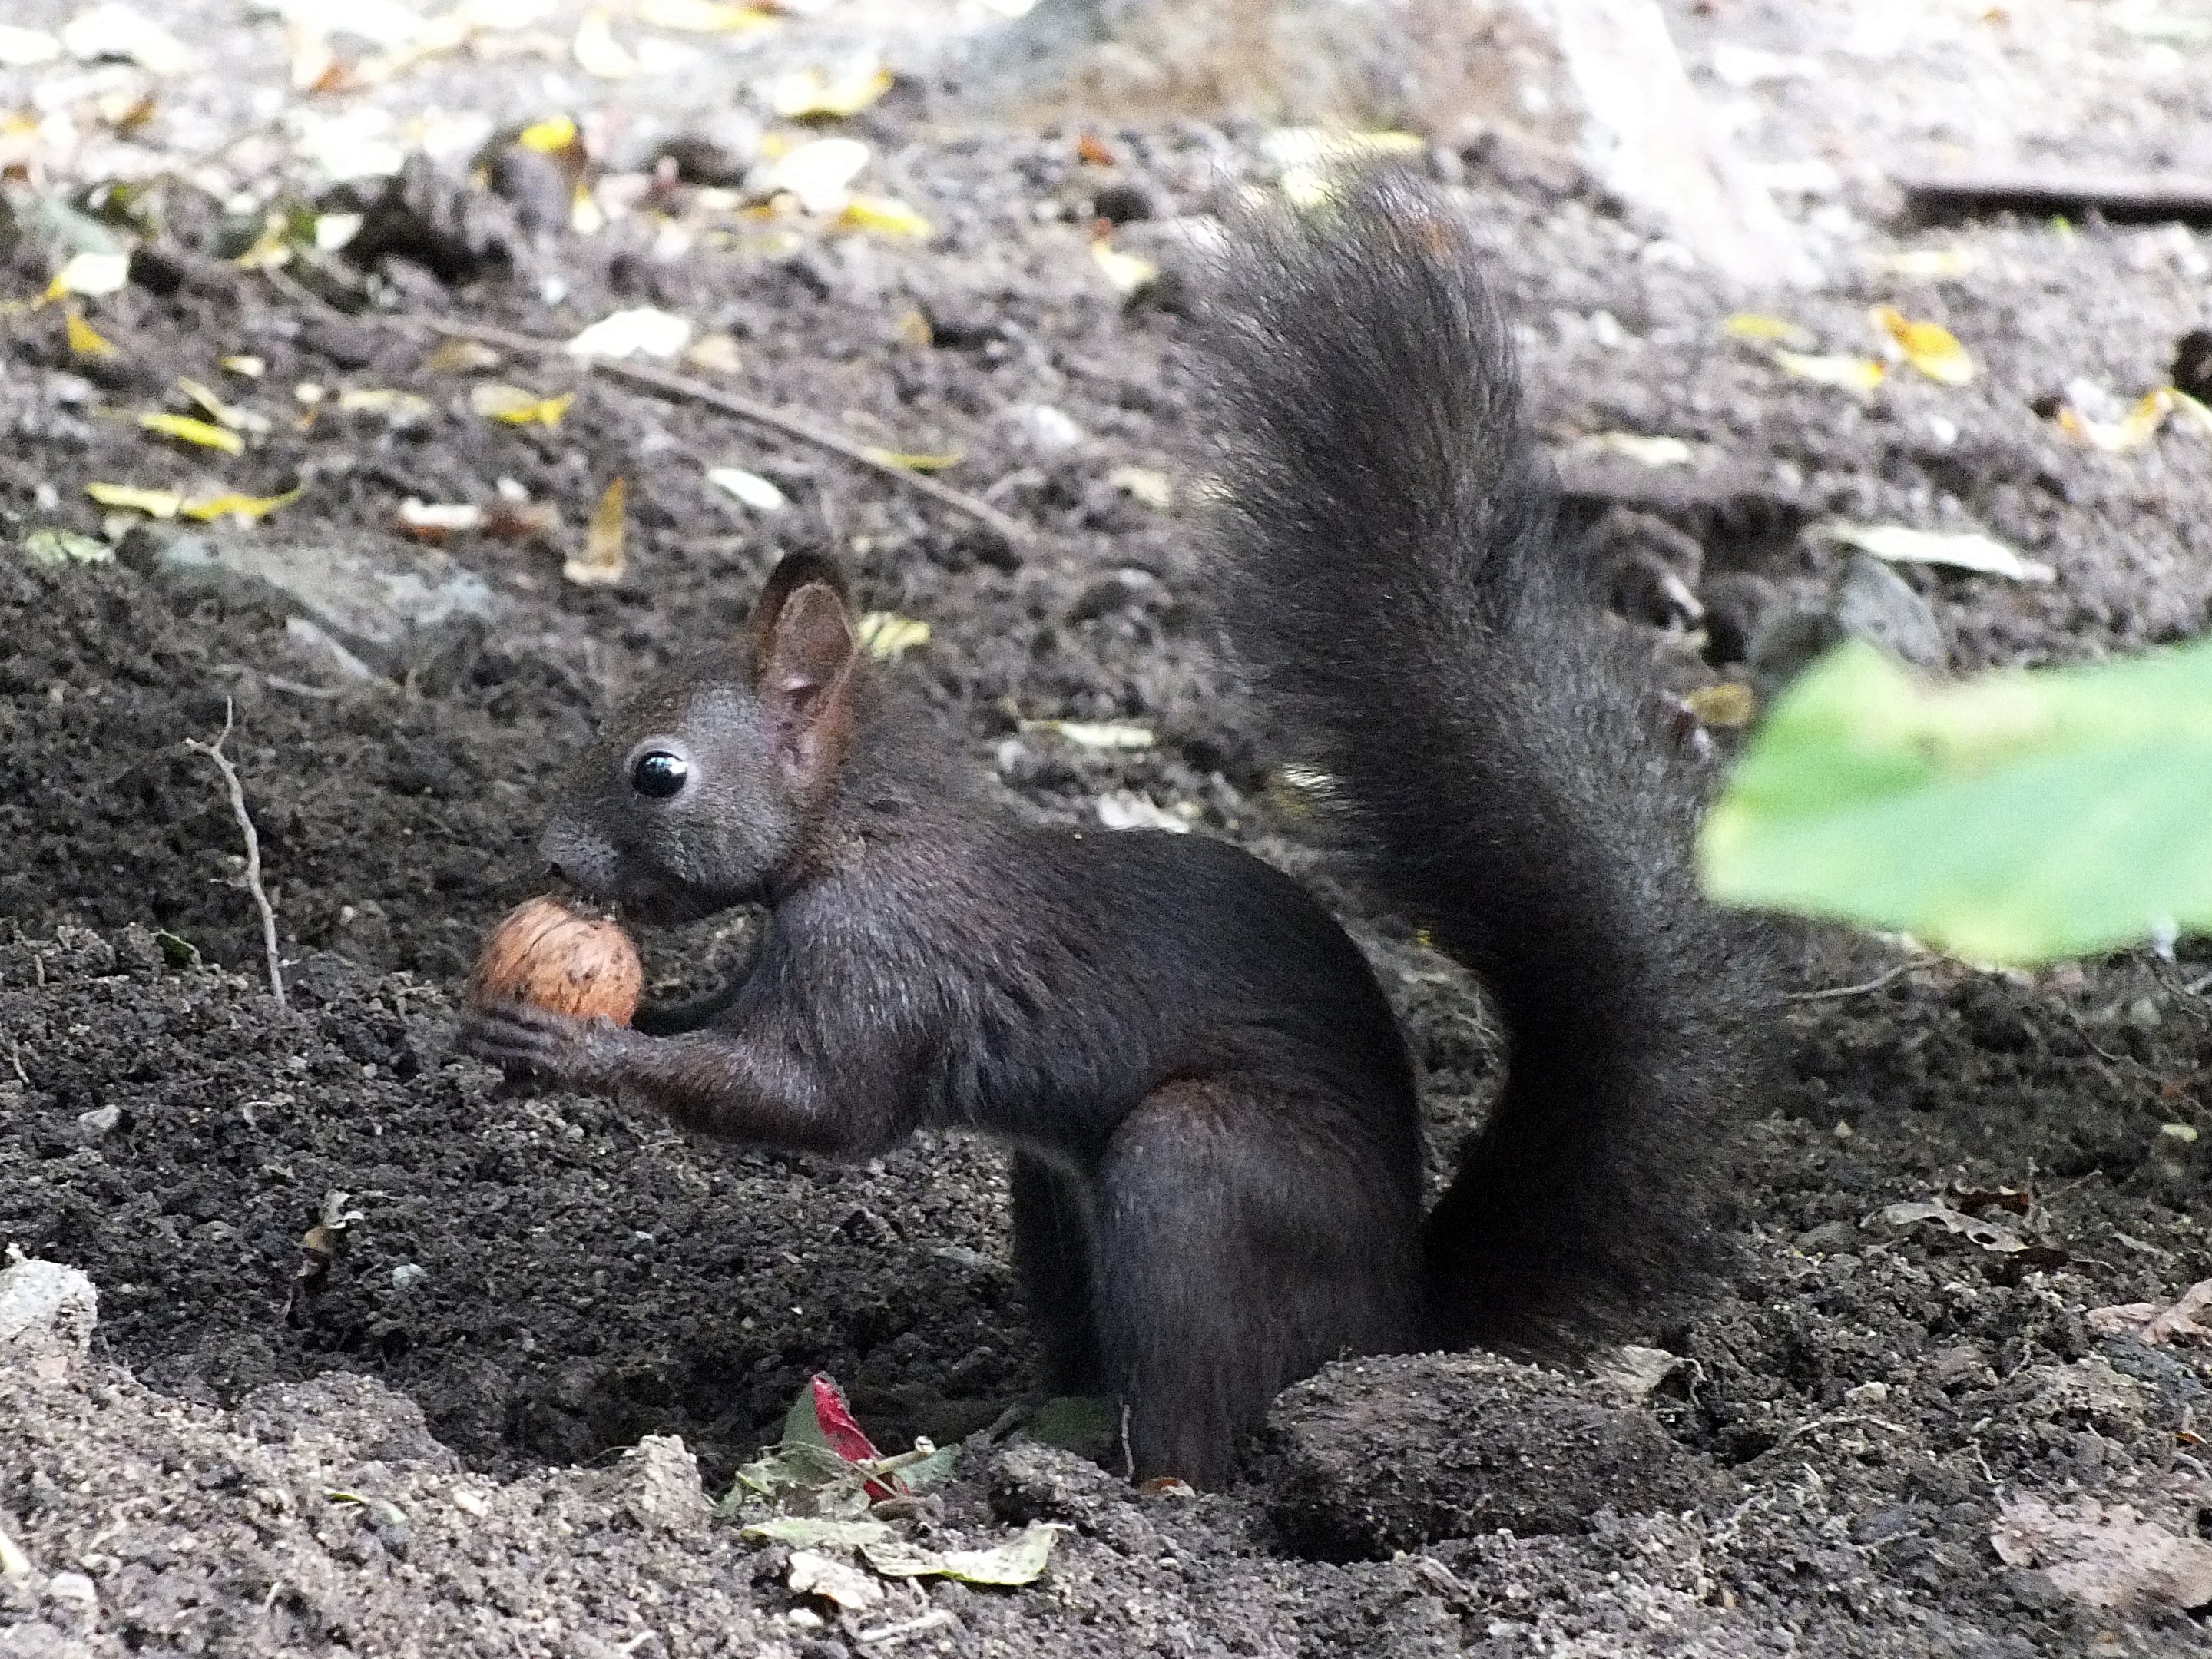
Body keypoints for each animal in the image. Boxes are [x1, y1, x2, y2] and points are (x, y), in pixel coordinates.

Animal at [459, 175, 1773, 1487]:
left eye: (659, 772)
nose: (553, 859)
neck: (859, 837)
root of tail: (1389, 1325)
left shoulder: (880, 959)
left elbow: (814, 1099)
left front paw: (574, 1047)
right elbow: (721, 1028)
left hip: (1194, 1175)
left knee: (1189, 1431)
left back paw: (1085, 1484)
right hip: (1051, 1199)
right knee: (1081, 1364)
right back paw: (970, 1407)